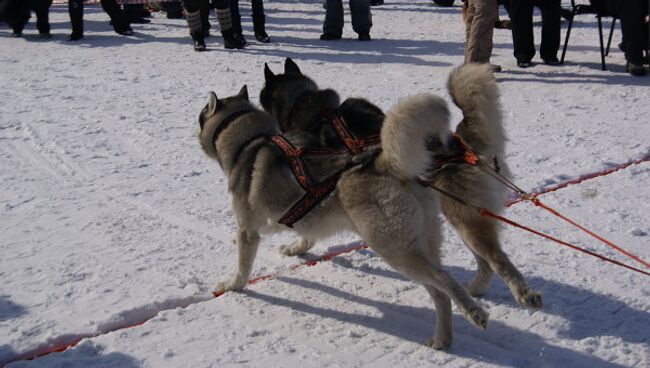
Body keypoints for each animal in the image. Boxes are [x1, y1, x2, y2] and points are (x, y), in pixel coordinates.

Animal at [197, 85, 486, 350]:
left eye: (200, 116)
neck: (247, 142)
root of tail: (386, 163)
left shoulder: (248, 231)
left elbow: (242, 268)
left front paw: (232, 284)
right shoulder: (307, 221)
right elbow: (306, 236)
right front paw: (295, 248)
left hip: (394, 249)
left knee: (444, 279)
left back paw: (475, 313)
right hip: (420, 245)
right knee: (441, 295)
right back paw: (442, 339)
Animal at [260, 59, 540, 310]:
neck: (307, 105)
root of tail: (460, 143)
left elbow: (307, 230)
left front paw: (296, 246)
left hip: (464, 216)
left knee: (497, 259)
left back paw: (523, 294)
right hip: (463, 216)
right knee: (485, 263)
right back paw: (473, 291)